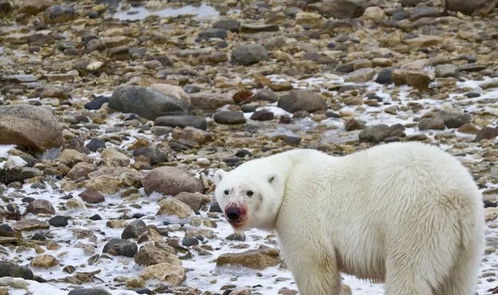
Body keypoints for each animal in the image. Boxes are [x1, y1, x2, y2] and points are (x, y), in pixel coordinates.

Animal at [213, 142, 482, 294]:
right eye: (226, 191)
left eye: (250, 192)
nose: (233, 212)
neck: (291, 172)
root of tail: (458, 198)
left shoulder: (300, 211)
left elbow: (314, 264)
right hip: (465, 242)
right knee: (458, 281)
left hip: (415, 222)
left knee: (409, 274)